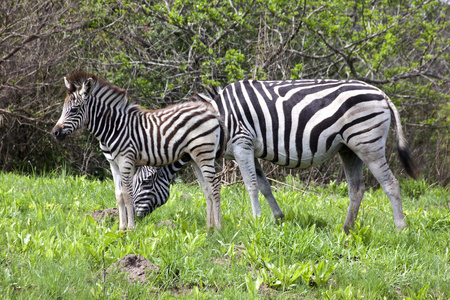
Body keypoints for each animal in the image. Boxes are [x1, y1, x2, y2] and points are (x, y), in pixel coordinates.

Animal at [52, 71, 227, 231]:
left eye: (74, 110)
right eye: (64, 109)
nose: (55, 132)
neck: (113, 127)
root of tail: (210, 112)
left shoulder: (126, 160)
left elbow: (127, 194)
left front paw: (131, 228)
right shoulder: (113, 163)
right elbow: (119, 195)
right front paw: (122, 228)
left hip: (204, 153)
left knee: (215, 186)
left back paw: (218, 229)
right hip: (194, 156)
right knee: (207, 188)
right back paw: (209, 228)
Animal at [134, 79, 418, 232]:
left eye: (146, 182)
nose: (135, 220)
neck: (220, 119)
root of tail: (380, 92)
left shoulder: (242, 144)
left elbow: (250, 186)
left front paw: (256, 220)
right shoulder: (249, 150)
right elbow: (263, 186)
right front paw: (278, 219)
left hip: (367, 143)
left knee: (391, 184)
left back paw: (400, 228)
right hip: (349, 149)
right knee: (357, 189)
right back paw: (347, 229)